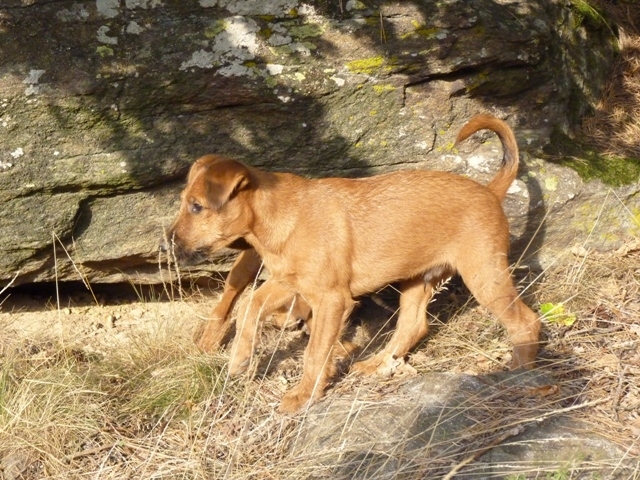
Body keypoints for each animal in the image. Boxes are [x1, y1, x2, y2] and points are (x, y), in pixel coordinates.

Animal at [164, 114, 541, 414]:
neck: (280, 218)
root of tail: (490, 192)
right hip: (418, 279)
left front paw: (304, 396)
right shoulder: (292, 284)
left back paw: (520, 373)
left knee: (525, 321)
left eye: (196, 207)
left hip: (484, 274)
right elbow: (250, 307)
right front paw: (241, 358)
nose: (168, 242)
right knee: (413, 325)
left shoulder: (330, 299)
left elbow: (314, 351)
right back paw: (376, 364)